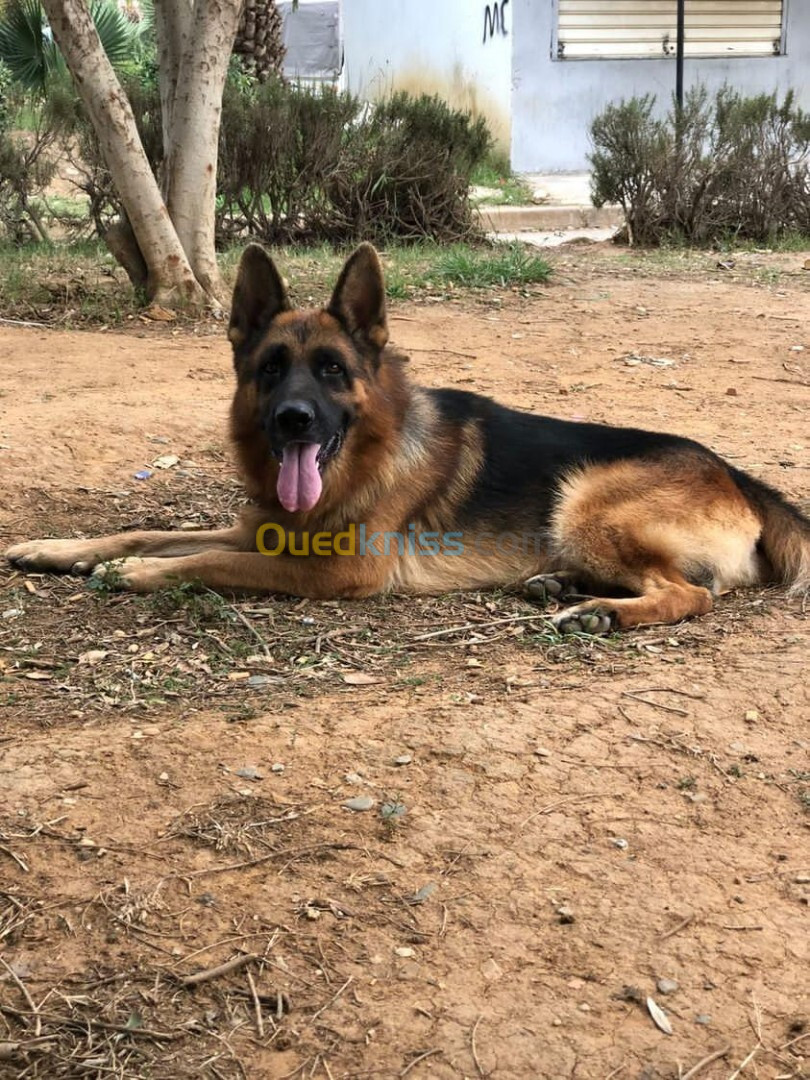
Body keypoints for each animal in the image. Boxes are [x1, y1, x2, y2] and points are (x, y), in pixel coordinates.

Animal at [7, 244, 810, 630]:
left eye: (332, 371)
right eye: (271, 370)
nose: (293, 420)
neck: (366, 459)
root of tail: (739, 476)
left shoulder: (336, 571)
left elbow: (211, 561)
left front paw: (137, 574)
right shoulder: (259, 527)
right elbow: (146, 531)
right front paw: (57, 550)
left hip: (586, 501)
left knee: (691, 595)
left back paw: (601, 612)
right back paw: (560, 585)